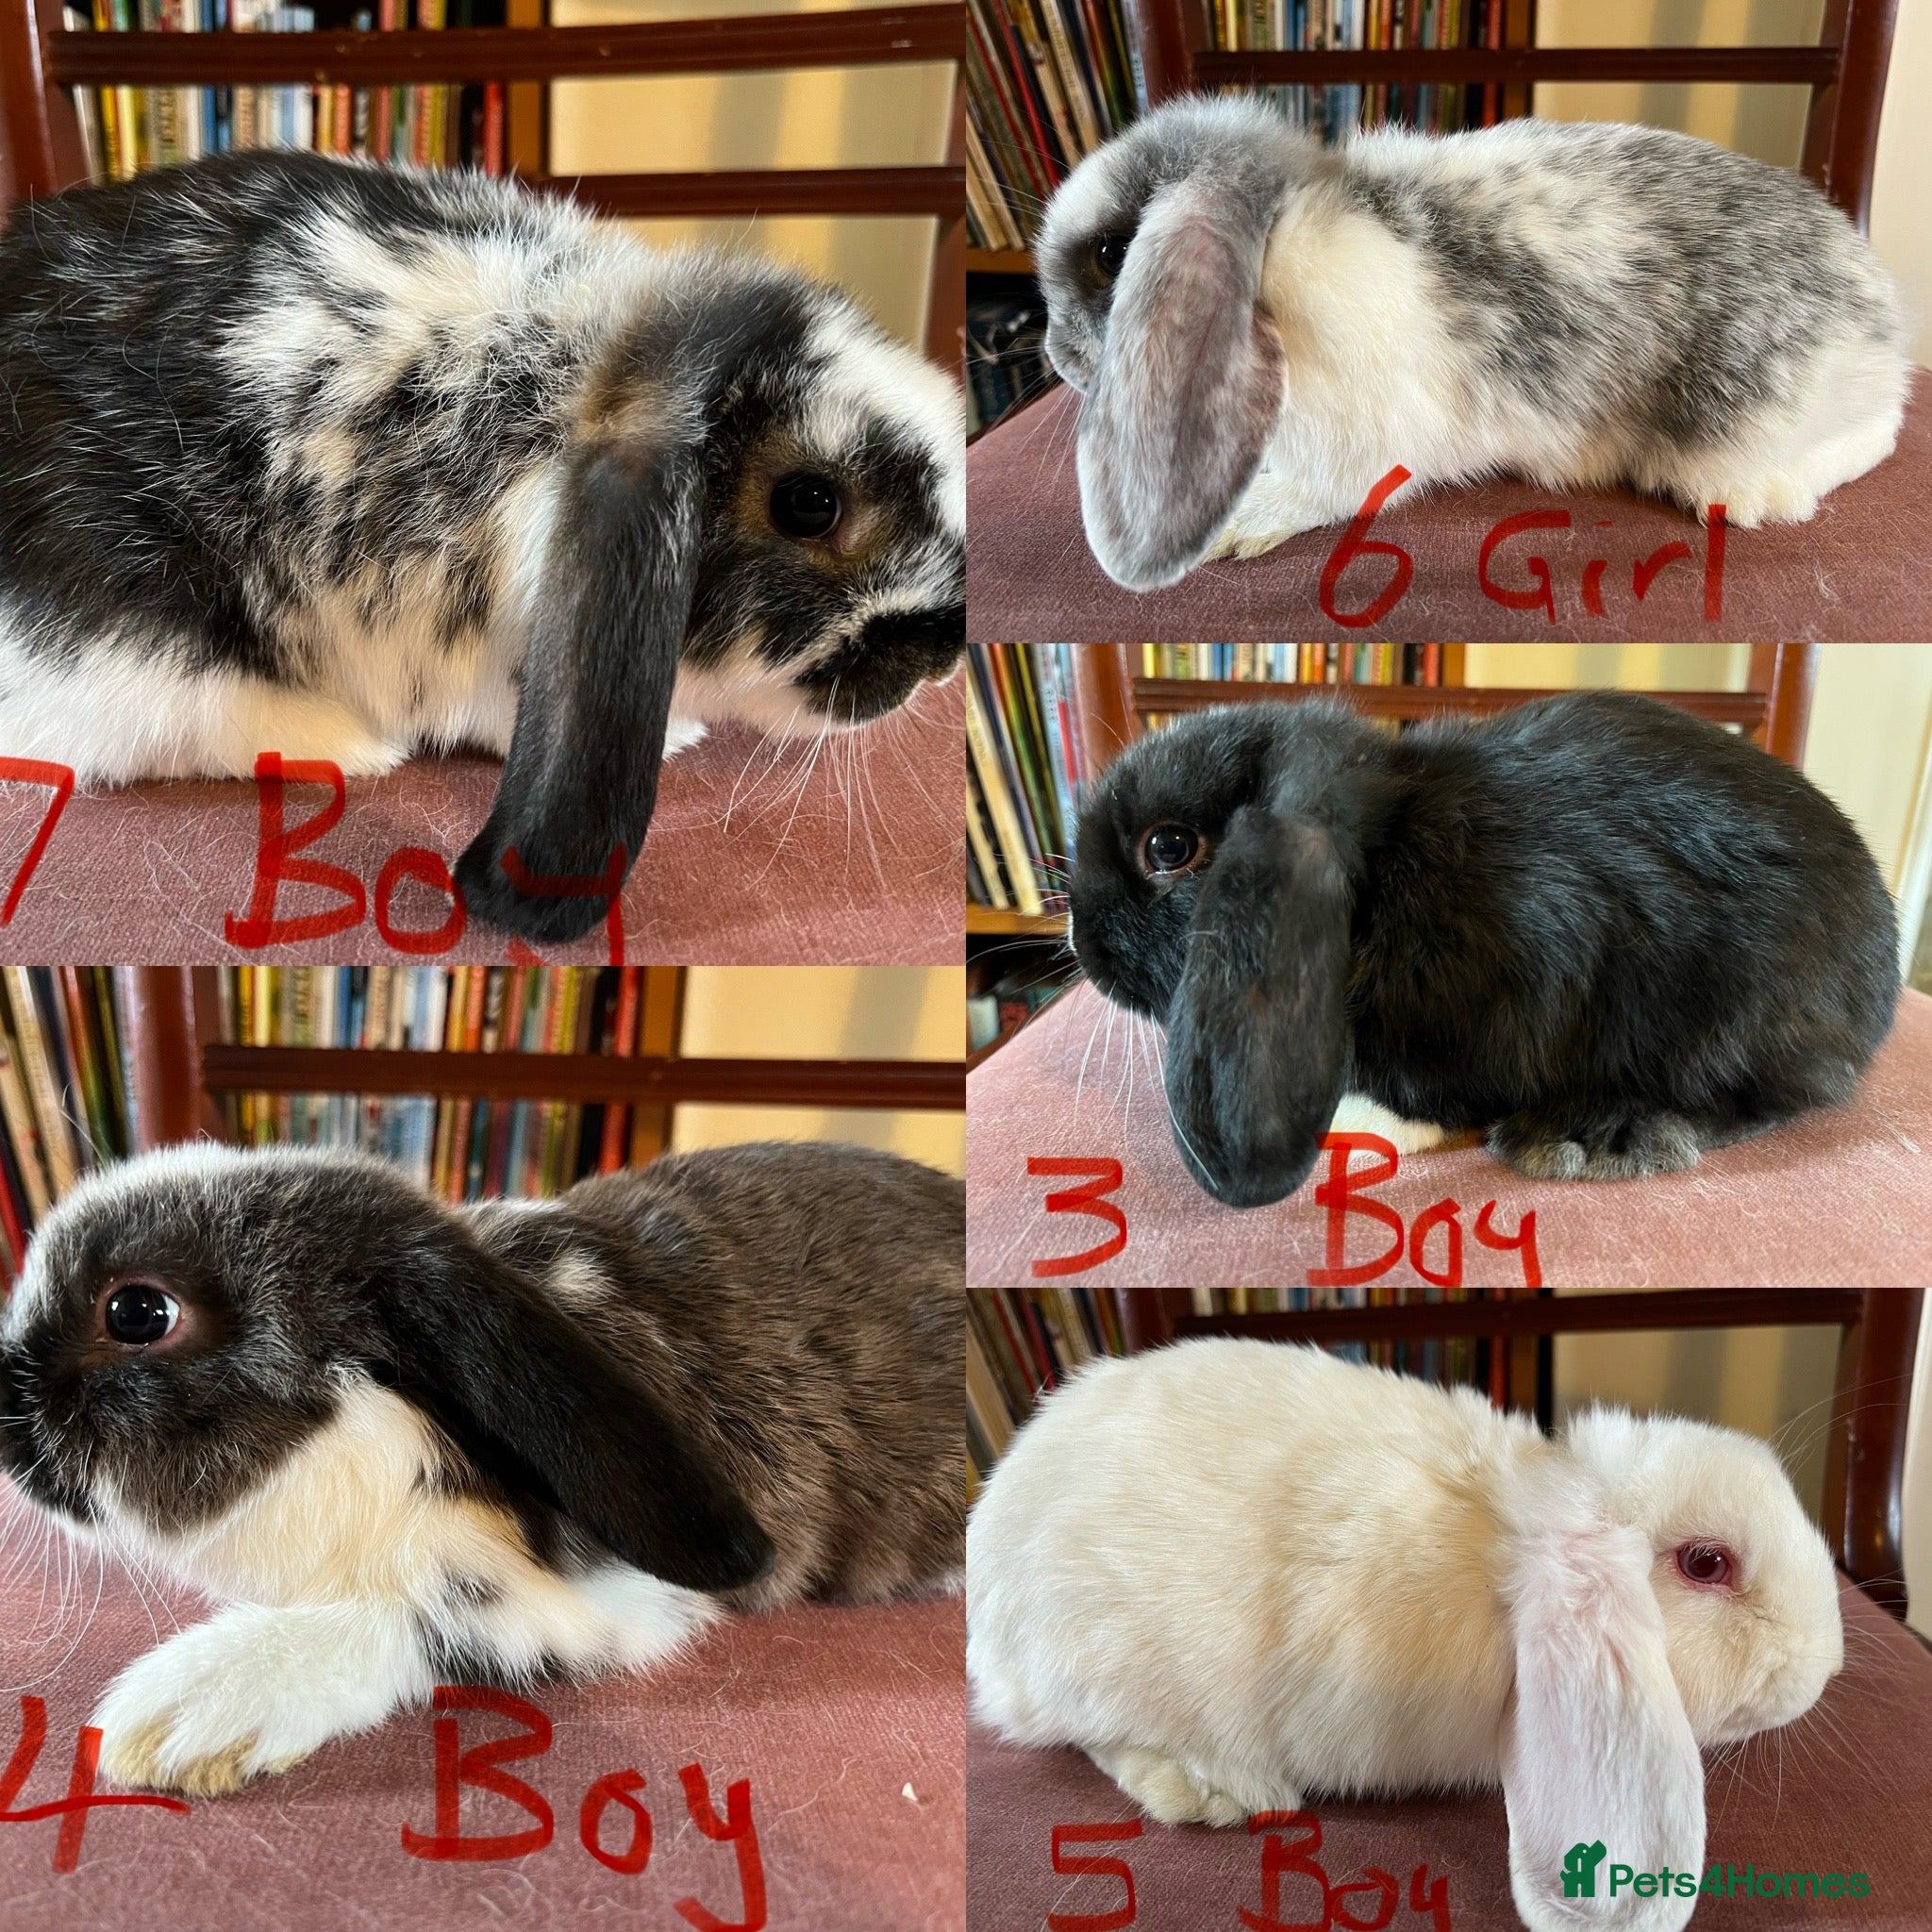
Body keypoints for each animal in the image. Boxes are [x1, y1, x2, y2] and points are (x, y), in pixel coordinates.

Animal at [1034, 96, 1910, 590]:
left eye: (1111, 254)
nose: (1055, 357)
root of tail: (1887, 323)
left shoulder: (1359, 449)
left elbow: (1323, 495)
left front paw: (1243, 522)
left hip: (1735, 437)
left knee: (1870, 442)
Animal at [1067, 691, 1899, 1209]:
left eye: (1169, 847)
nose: (1079, 938)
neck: (1377, 881)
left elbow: (1437, 1098)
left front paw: (1360, 1128)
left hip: (1735, 1022)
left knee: (1757, 1101)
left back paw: (1592, 1136)